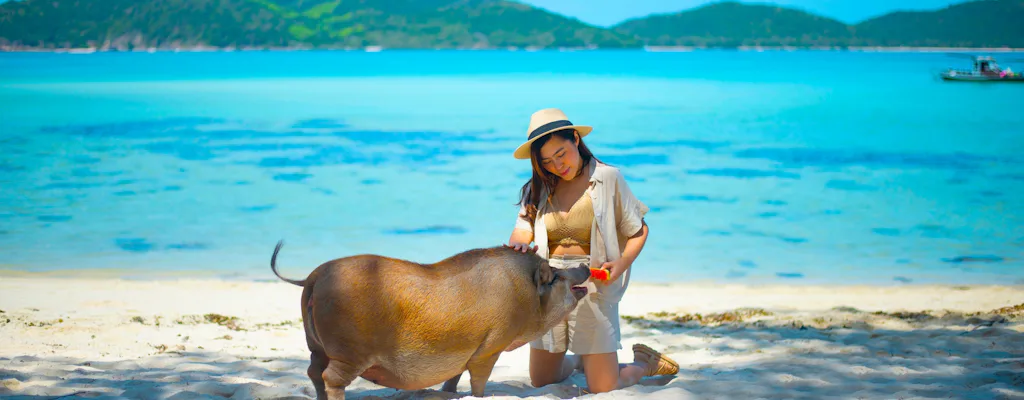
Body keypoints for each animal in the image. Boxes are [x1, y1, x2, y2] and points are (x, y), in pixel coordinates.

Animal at [269, 241, 592, 400]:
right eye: (556, 277)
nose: (584, 267)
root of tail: (313, 277)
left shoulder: (466, 352)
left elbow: (454, 377)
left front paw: (448, 394)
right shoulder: (491, 346)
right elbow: (479, 379)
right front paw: (479, 395)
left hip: (315, 345)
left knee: (313, 371)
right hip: (349, 350)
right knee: (330, 378)